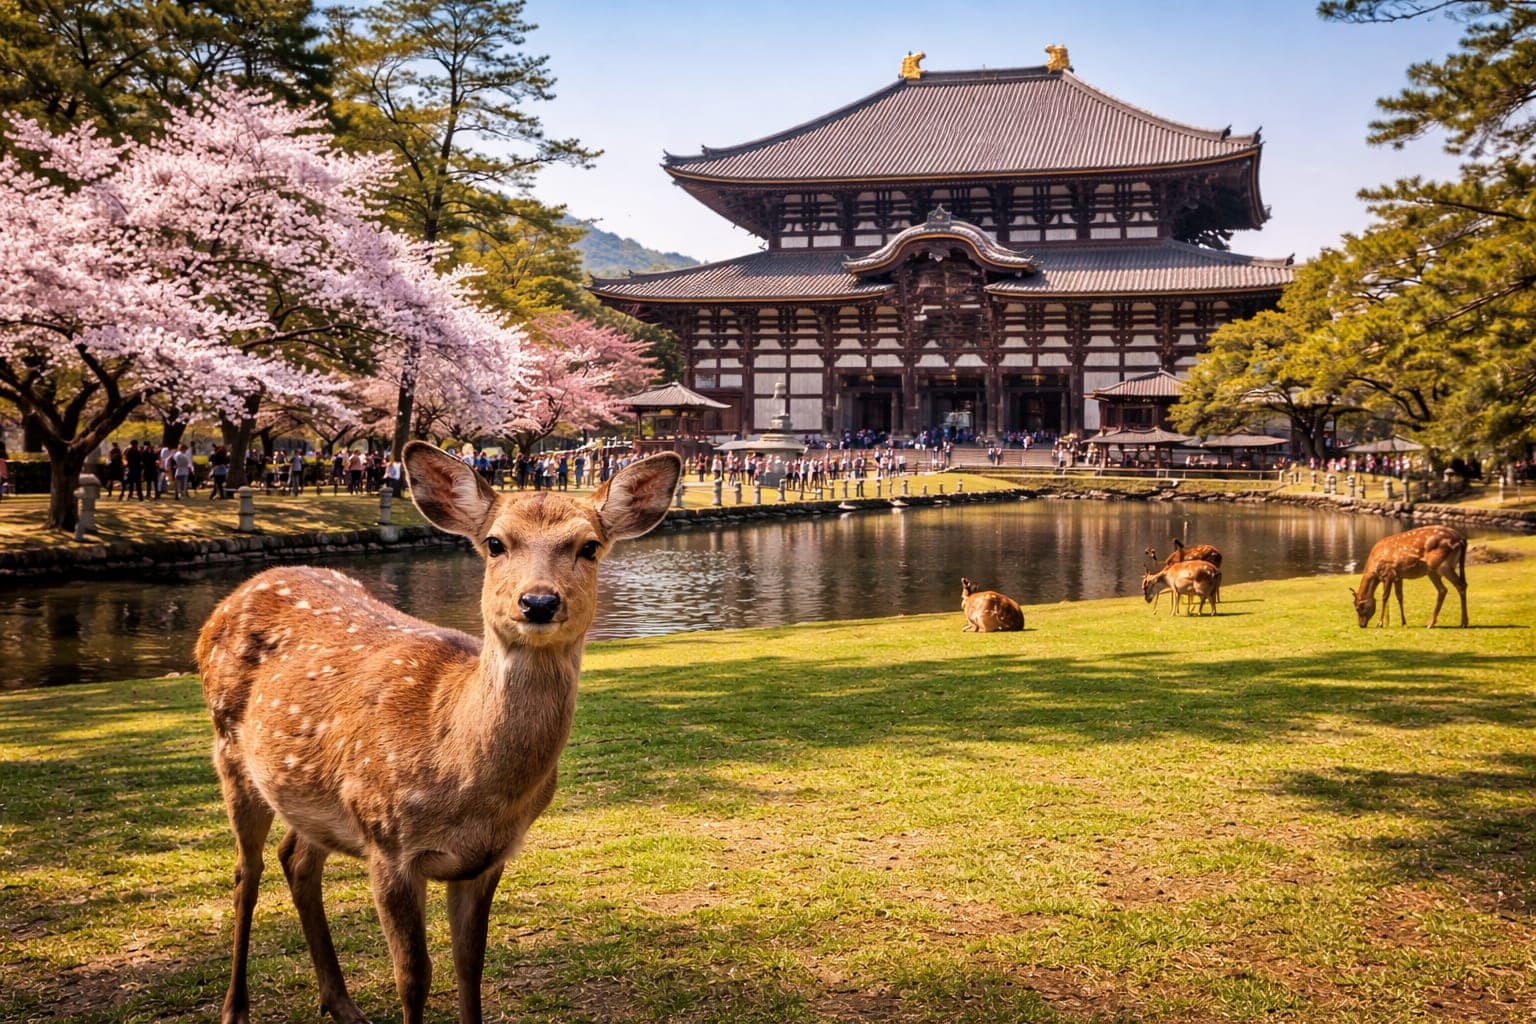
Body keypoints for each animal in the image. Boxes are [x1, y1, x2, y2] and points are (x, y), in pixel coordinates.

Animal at [196, 441, 682, 1024]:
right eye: (495, 543)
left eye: (588, 546)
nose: (538, 602)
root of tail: (230, 598)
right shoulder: (388, 842)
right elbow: (414, 977)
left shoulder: (487, 859)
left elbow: (471, 967)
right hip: (231, 752)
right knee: (246, 875)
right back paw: (235, 1008)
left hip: (308, 792)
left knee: (296, 860)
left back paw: (342, 1005)